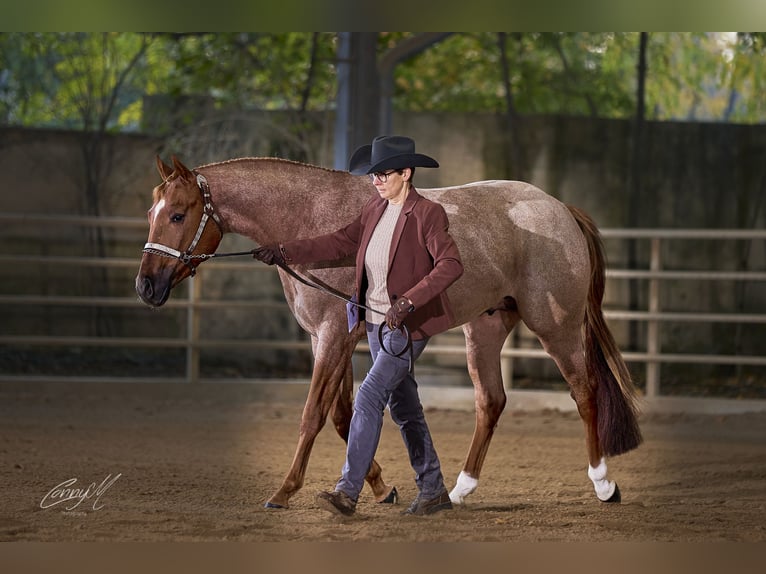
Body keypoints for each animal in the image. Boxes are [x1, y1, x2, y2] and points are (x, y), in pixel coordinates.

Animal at [135, 155, 643, 509]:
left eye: (177, 214)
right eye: (151, 212)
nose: (146, 286)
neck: (310, 215)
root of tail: (559, 210)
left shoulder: (333, 337)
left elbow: (314, 415)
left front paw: (284, 491)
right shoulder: (331, 339)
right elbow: (343, 416)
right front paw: (380, 488)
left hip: (556, 326)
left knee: (585, 391)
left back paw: (603, 484)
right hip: (485, 329)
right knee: (491, 402)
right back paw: (459, 491)